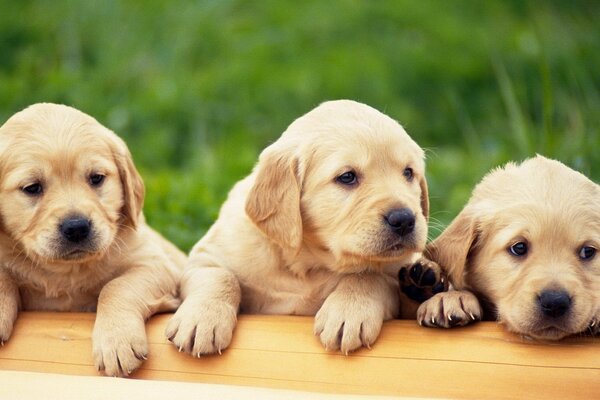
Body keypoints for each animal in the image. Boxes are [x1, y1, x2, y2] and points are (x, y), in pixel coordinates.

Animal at [0, 103, 185, 376]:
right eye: (32, 188)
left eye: (96, 178)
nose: (77, 228)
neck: (65, 272)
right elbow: (3, 278)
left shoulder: (157, 264)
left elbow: (115, 286)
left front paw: (117, 342)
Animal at [165, 98, 440, 354]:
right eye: (347, 177)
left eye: (408, 173)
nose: (404, 219)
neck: (308, 262)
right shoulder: (206, 256)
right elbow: (220, 276)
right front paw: (201, 320)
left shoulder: (392, 269)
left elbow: (370, 275)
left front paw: (349, 311)